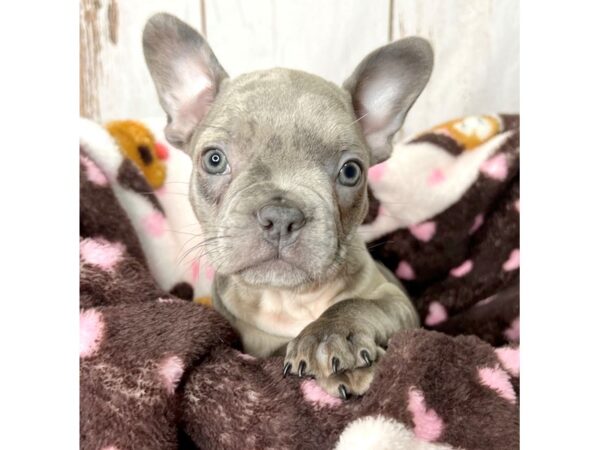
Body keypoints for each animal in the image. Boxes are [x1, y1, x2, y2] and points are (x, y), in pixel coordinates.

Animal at [143, 13, 434, 398]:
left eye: (351, 171)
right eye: (214, 160)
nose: (281, 217)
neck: (288, 298)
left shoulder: (395, 299)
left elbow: (358, 303)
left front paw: (331, 337)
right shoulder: (251, 344)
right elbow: (278, 348)